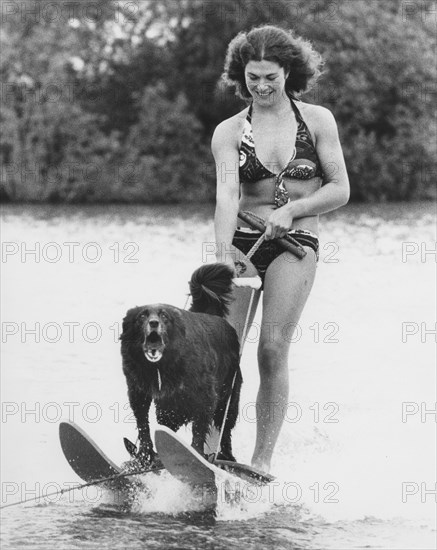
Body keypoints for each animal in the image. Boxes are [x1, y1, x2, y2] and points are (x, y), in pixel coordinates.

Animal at [120, 266, 242, 468]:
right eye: (142, 315)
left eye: (164, 316)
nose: (153, 323)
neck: (160, 367)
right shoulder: (138, 391)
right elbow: (143, 423)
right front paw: (145, 454)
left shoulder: (206, 396)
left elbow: (199, 428)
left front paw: (196, 454)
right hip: (169, 407)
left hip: (228, 397)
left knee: (225, 427)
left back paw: (226, 456)